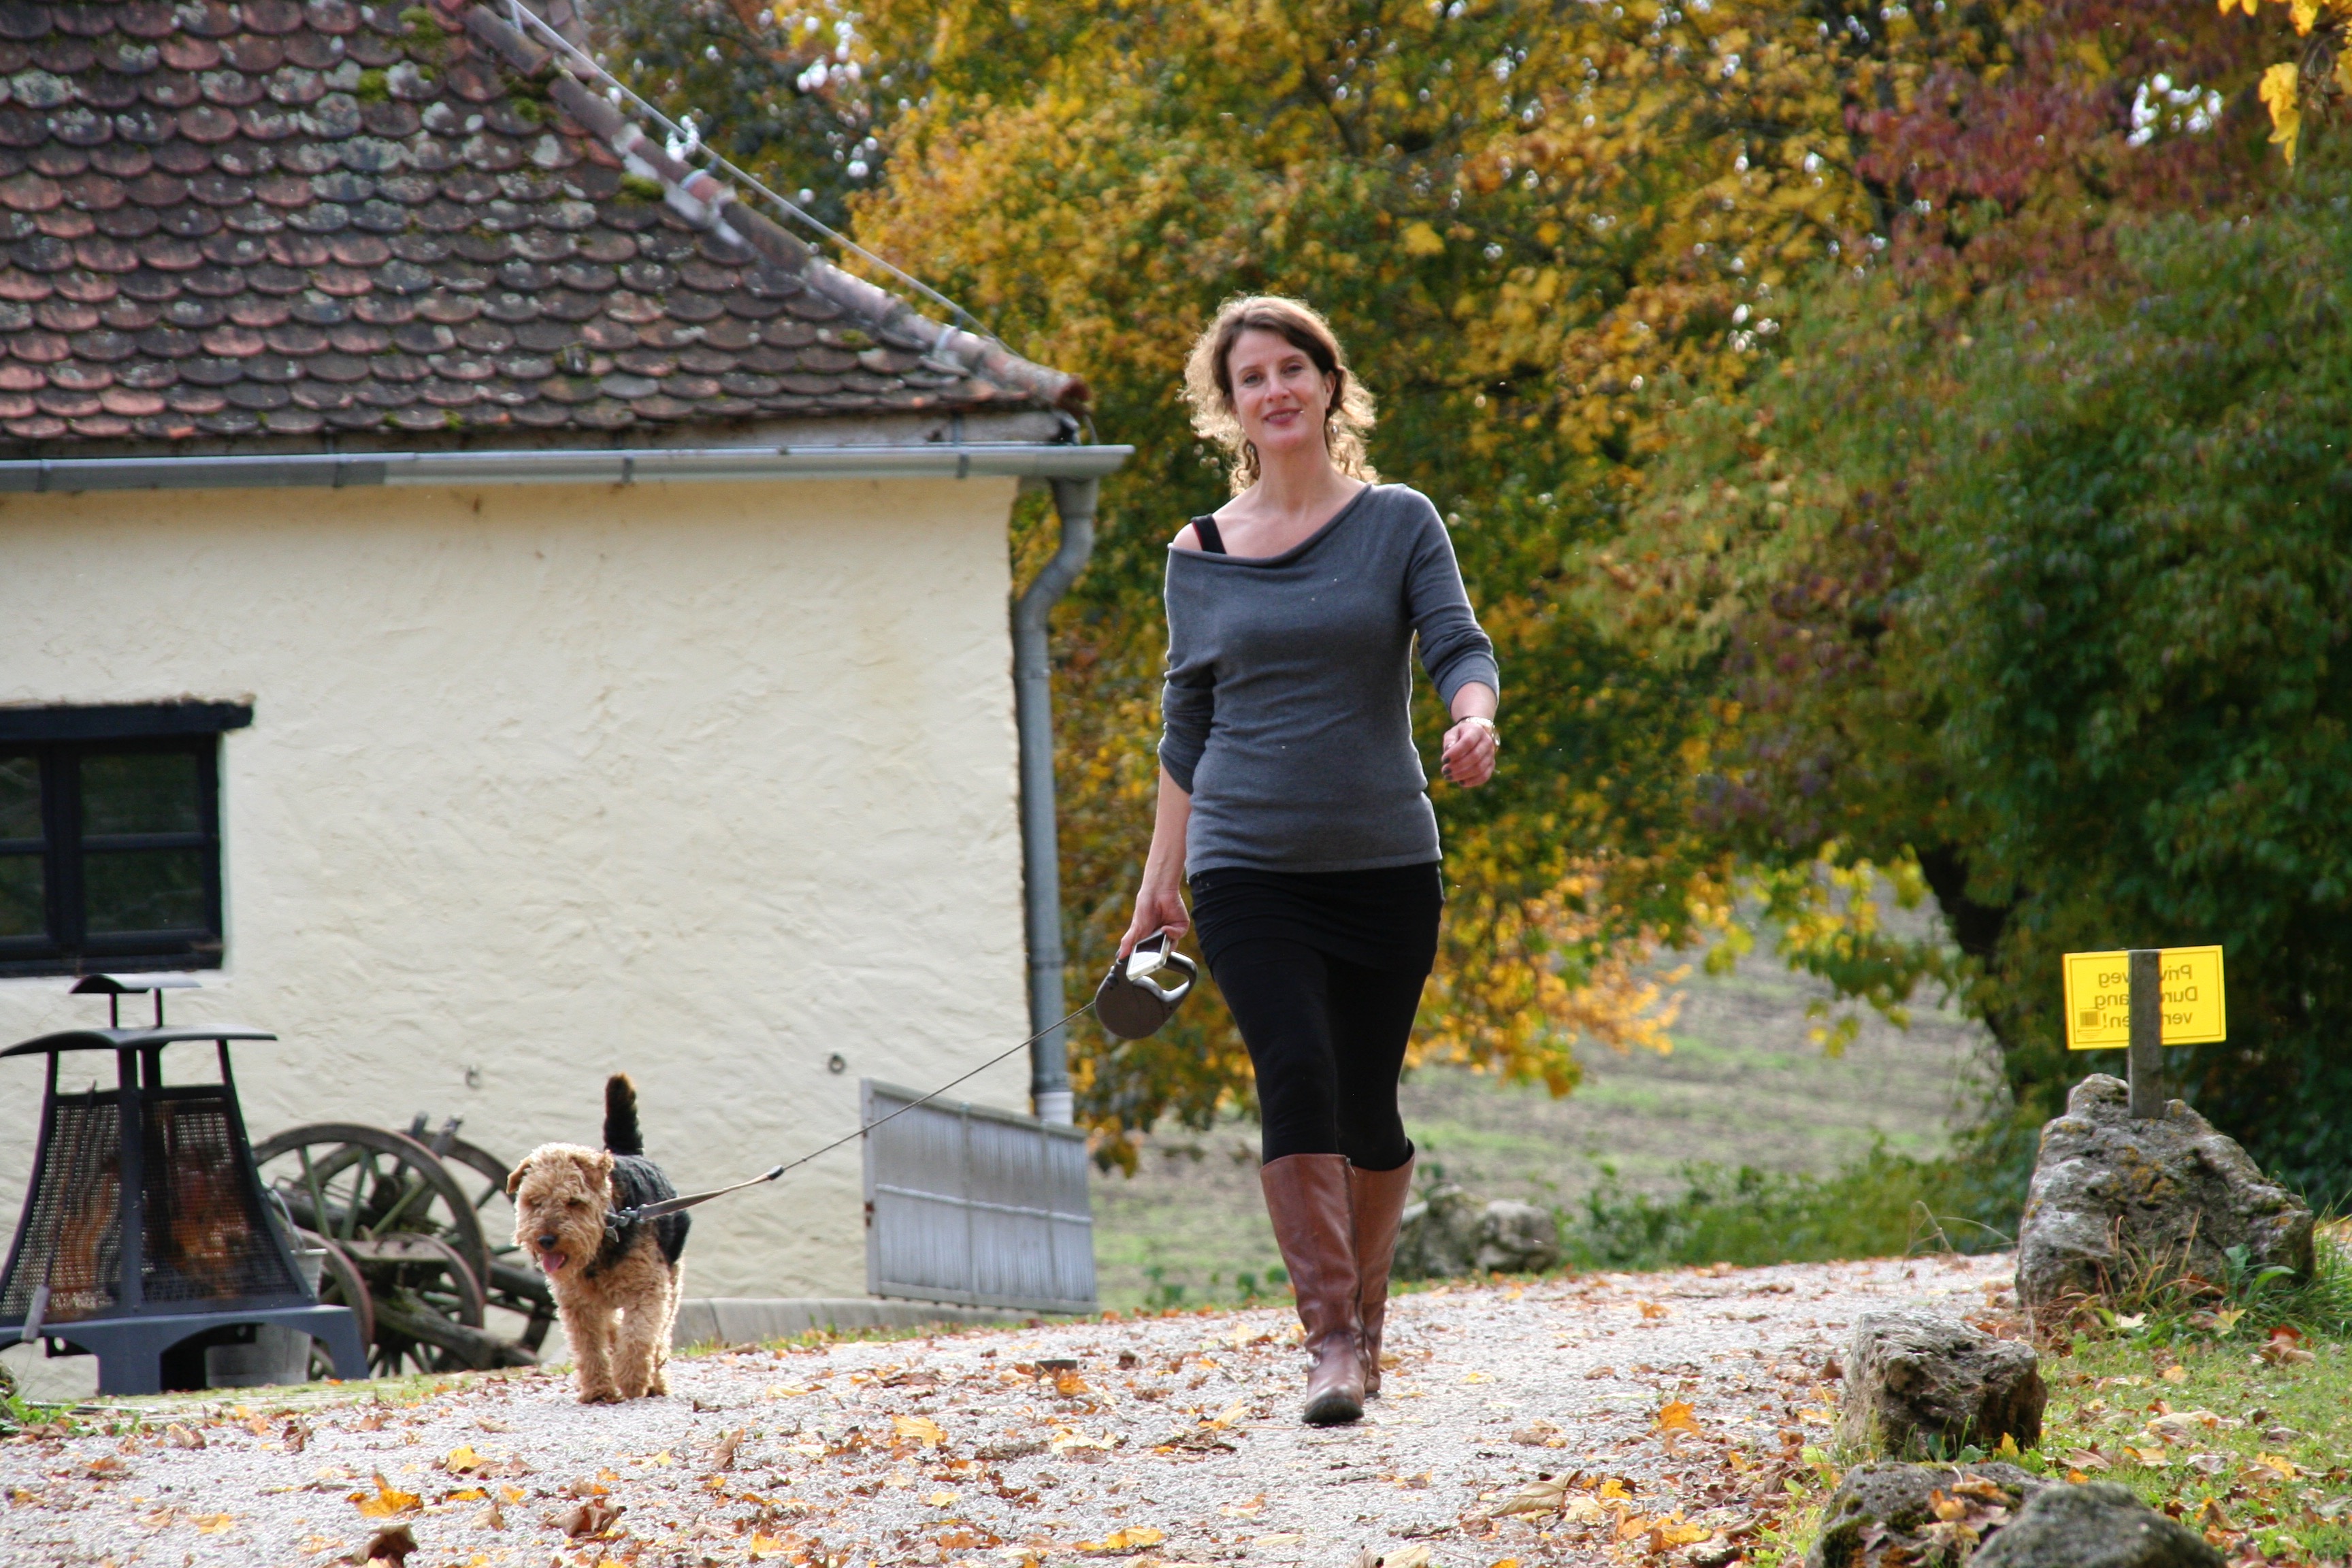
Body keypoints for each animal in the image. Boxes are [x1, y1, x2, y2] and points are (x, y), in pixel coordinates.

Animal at [510, 1072, 691, 1401]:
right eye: (534, 1201)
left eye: (573, 1201)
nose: (546, 1240)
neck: (611, 1225)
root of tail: (628, 1152)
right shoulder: (578, 1304)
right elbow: (589, 1346)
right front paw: (598, 1390)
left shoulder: (647, 1289)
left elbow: (639, 1336)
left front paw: (632, 1380)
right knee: (616, 1330)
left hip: (672, 1282)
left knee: (660, 1337)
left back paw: (655, 1382)